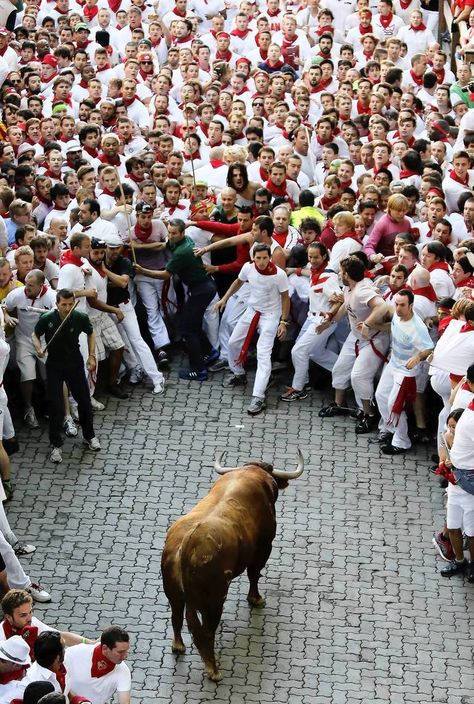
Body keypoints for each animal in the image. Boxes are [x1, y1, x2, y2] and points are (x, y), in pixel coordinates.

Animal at [163, 452, 304, 680]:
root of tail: (186, 545)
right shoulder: (264, 547)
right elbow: (254, 574)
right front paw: (256, 599)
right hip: (214, 600)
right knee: (205, 632)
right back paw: (213, 670)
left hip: (173, 593)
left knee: (176, 617)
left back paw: (178, 646)